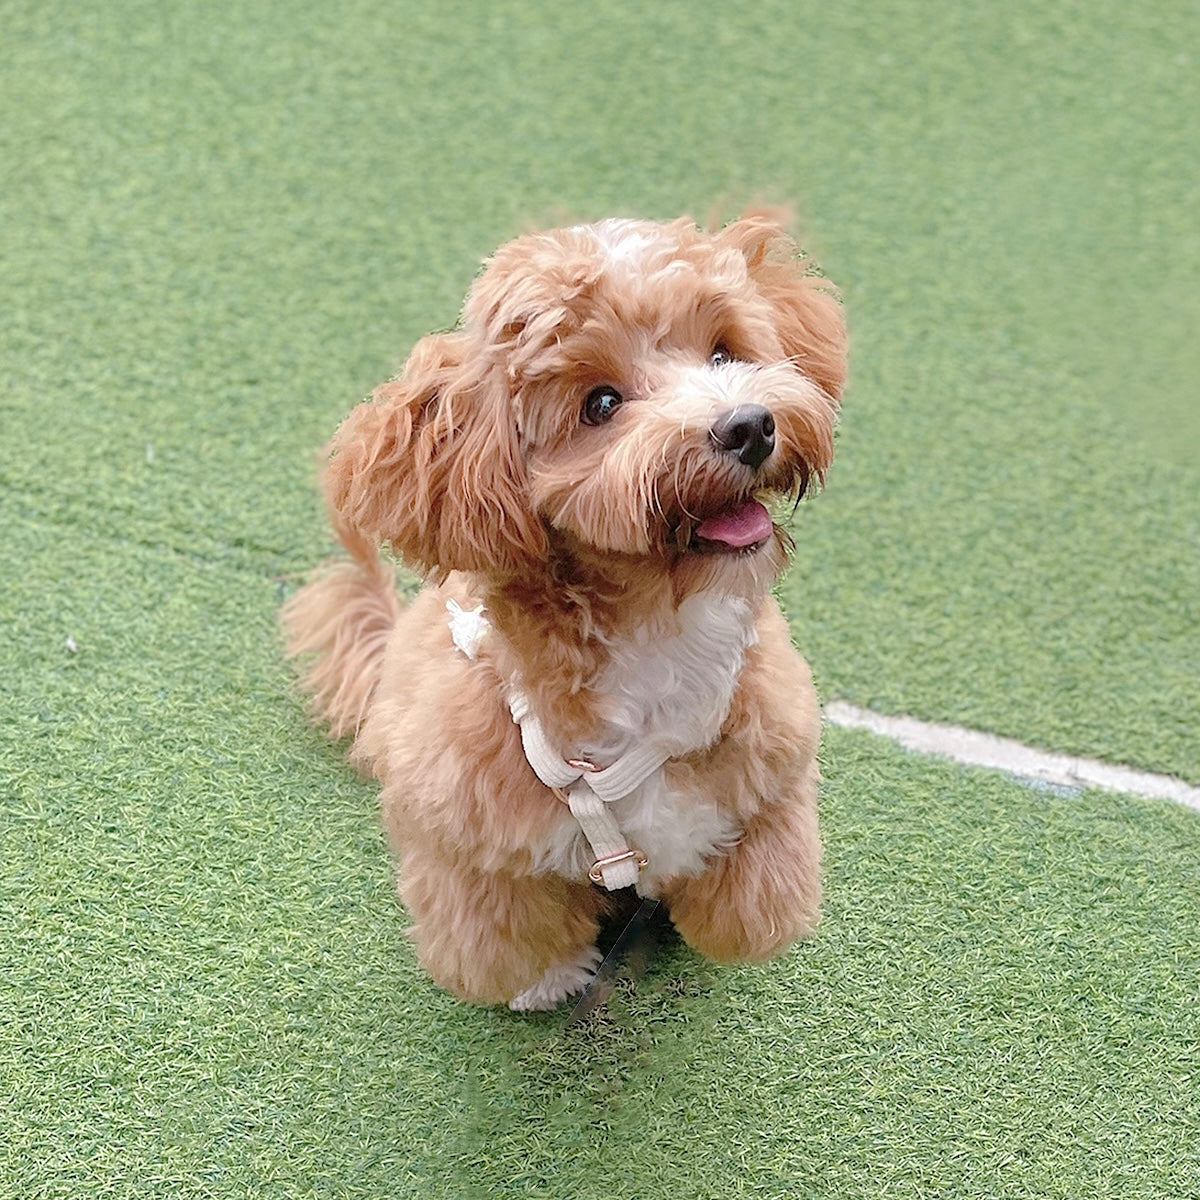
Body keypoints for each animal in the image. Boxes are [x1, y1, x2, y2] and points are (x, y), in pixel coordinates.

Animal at [280, 211, 844, 1008]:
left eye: (723, 351)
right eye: (600, 404)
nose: (748, 425)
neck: (659, 634)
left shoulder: (775, 750)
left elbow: (755, 903)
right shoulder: (466, 831)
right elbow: (502, 940)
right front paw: (547, 981)